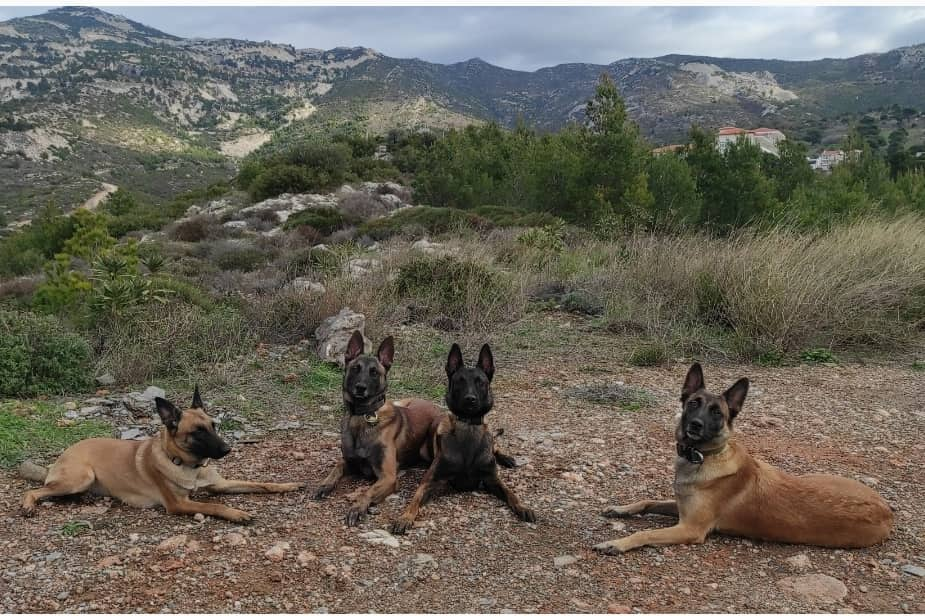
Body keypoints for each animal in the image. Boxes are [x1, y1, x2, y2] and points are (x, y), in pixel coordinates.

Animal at [20, 388, 304, 524]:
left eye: (214, 426)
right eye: (197, 432)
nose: (227, 450)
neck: (189, 466)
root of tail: (64, 454)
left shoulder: (220, 485)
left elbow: (261, 483)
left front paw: (288, 485)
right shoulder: (179, 504)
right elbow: (214, 505)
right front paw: (236, 513)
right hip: (82, 476)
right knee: (35, 490)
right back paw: (28, 505)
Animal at [312, 330, 446, 528]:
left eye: (374, 373)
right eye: (355, 368)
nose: (360, 388)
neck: (362, 417)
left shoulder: (388, 477)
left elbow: (366, 491)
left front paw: (357, 507)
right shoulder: (349, 461)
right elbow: (336, 467)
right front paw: (324, 485)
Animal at [390, 342, 536, 536]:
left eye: (480, 382)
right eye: (460, 381)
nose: (470, 399)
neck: (468, 427)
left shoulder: (492, 479)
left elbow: (510, 493)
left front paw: (522, 506)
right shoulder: (429, 481)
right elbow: (415, 500)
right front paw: (405, 517)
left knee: (495, 444)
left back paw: (507, 458)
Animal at [596, 364, 892, 556]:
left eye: (717, 412)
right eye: (693, 403)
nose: (695, 425)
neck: (703, 457)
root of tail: (888, 511)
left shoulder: (690, 528)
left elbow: (645, 533)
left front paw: (616, 543)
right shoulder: (680, 508)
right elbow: (647, 501)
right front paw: (621, 509)